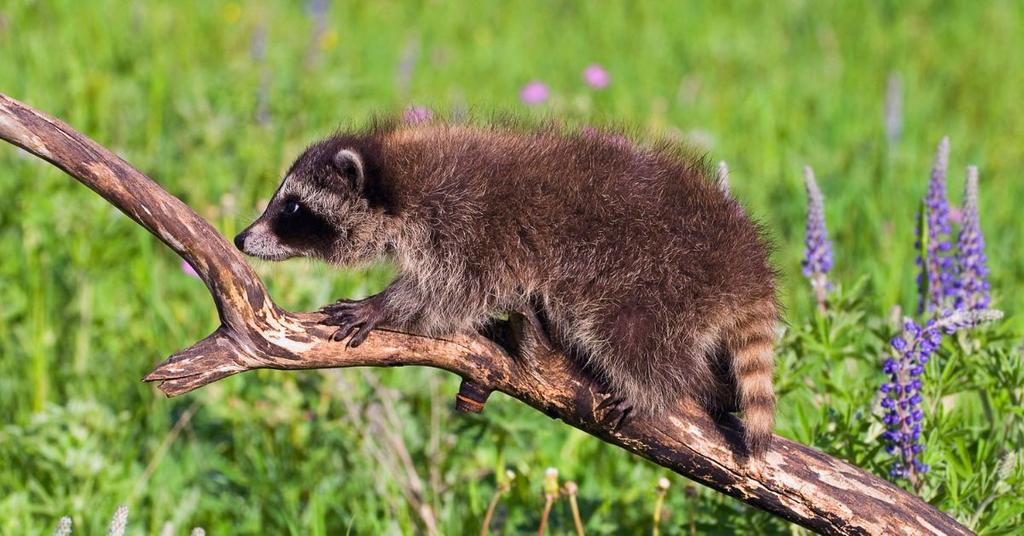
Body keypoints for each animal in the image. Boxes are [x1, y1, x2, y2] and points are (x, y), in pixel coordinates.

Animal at [235, 120, 779, 456]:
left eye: (293, 207)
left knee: (632, 336)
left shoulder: (470, 227)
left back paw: (665, 388)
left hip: (658, 280)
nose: (241, 237)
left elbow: (452, 293)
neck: (401, 180)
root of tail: (744, 262)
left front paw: (384, 305)